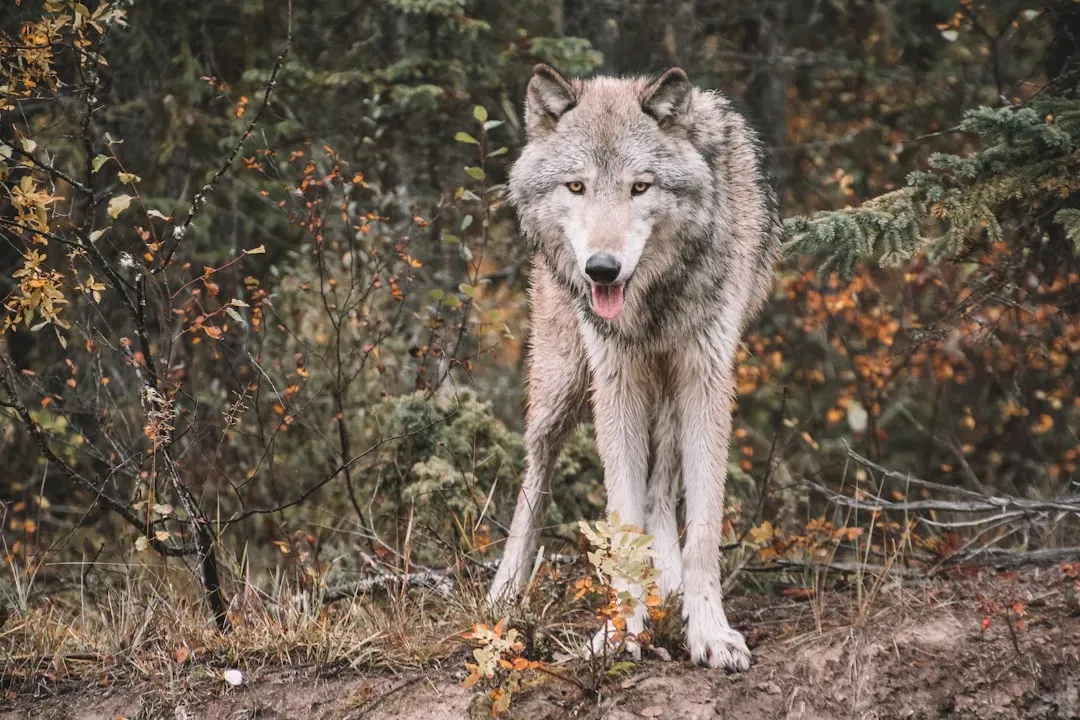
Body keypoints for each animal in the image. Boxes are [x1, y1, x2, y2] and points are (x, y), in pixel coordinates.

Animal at [486, 64, 780, 671]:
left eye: (639, 187)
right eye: (576, 186)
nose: (602, 269)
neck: (654, 299)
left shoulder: (707, 376)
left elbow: (702, 526)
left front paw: (710, 631)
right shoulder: (615, 379)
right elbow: (621, 520)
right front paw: (622, 633)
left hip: (664, 389)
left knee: (663, 482)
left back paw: (666, 580)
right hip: (562, 386)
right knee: (536, 473)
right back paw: (505, 592)